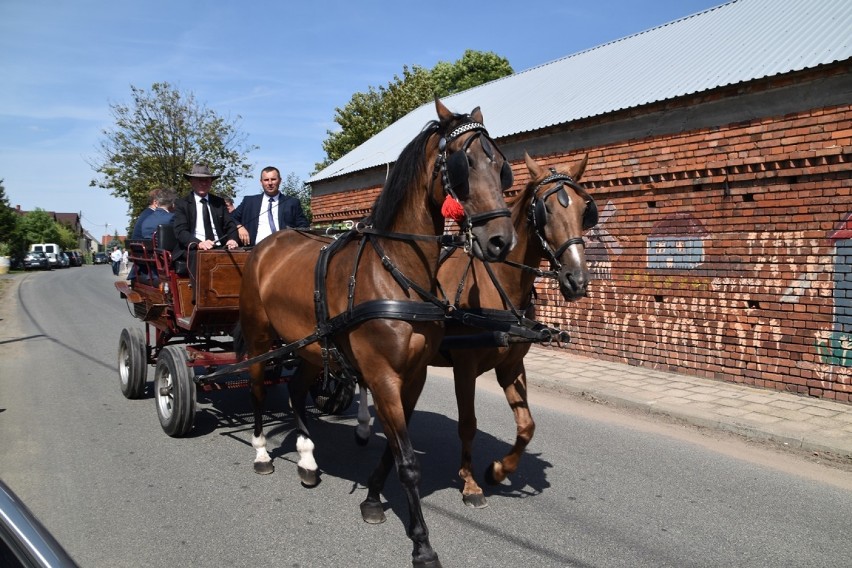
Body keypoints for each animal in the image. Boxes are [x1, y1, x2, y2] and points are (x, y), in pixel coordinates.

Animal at [352, 151, 592, 506]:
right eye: (544, 210)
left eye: (584, 209)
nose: (576, 280)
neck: (499, 286)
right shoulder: (464, 366)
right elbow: (468, 423)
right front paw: (470, 482)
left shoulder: (511, 365)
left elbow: (526, 426)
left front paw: (498, 470)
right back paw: (364, 426)